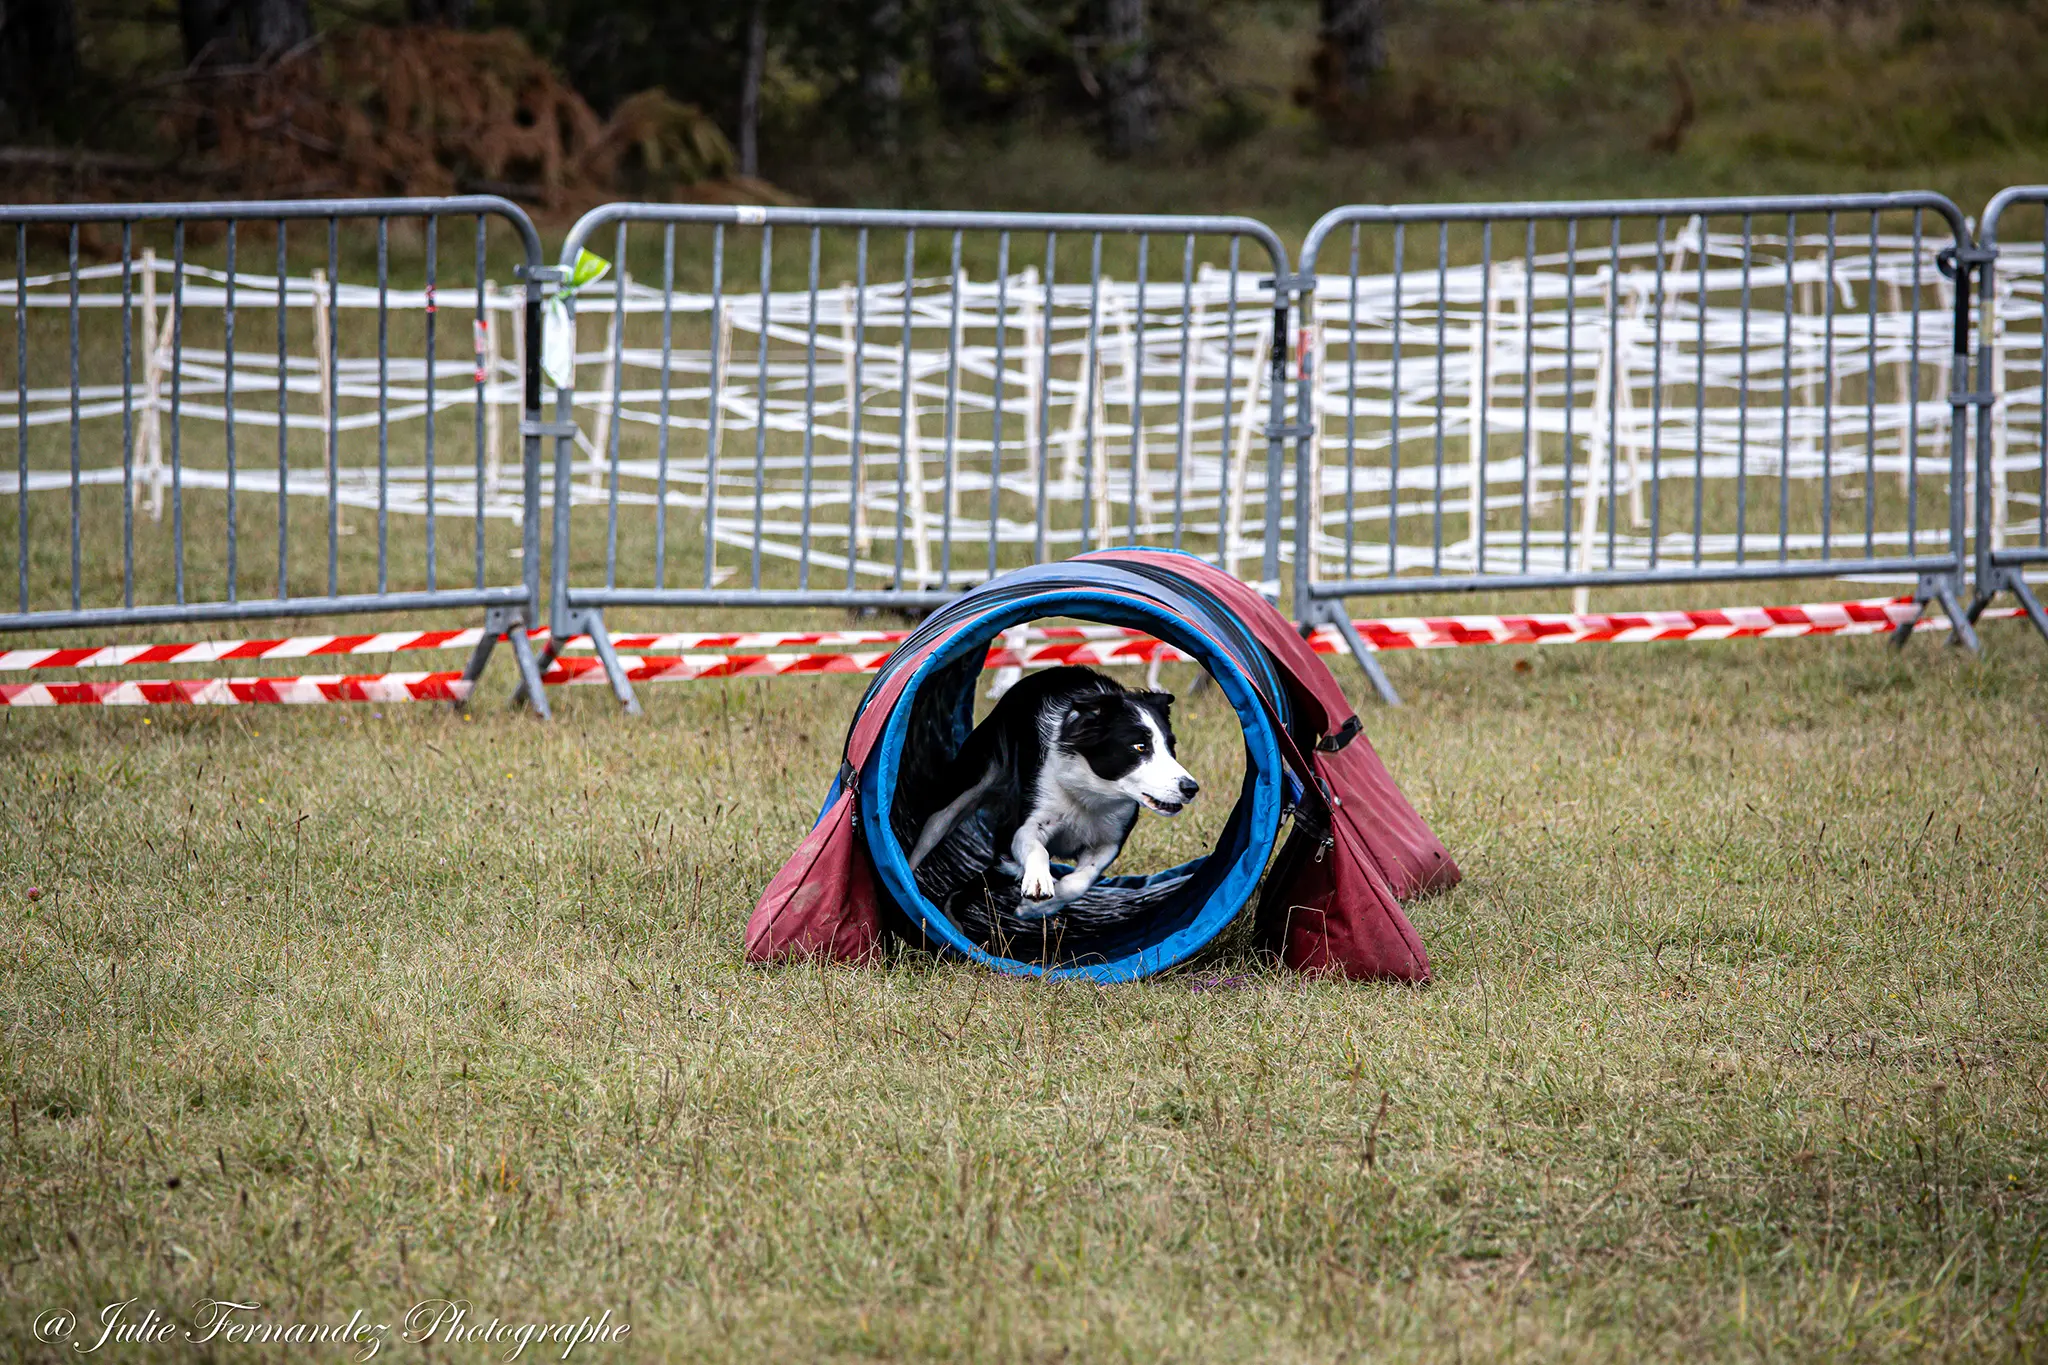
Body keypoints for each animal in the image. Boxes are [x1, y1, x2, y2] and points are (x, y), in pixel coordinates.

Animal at [909, 663, 1196, 916]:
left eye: (1171, 746)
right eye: (1139, 747)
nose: (1191, 788)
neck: (1091, 791)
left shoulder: (1110, 838)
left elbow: (1080, 881)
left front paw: (1033, 909)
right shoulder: (1027, 819)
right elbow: (1037, 849)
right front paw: (1037, 882)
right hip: (968, 783)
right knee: (931, 832)